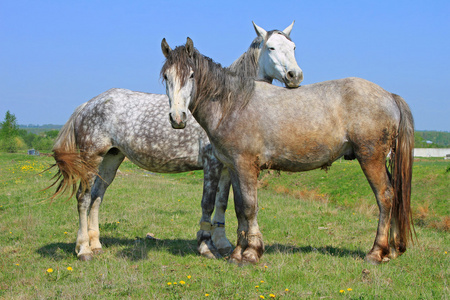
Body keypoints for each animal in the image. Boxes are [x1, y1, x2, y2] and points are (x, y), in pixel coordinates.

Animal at [49, 22, 302, 260]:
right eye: (271, 48)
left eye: (292, 47)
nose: (295, 76)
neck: (225, 103)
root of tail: (88, 104)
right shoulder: (212, 164)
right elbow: (208, 203)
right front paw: (206, 247)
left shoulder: (227, 166)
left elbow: (222, 203)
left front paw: (222, 244)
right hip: (91, 158)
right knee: (83, 198)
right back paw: (84, 249)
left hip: (110, 159)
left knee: (97, 197)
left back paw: (96, 245)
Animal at [161, 38, 414, 266]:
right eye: (166, 76)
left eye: (191, 75)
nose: (177, 118)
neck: (233, 105)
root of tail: (389, 96)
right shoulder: (233, 167)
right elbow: (240, 208)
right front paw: (237, 254)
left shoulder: (246, 165)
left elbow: (249, 207)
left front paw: (251, 253)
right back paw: (391, 250)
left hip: (370, 158)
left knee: (385, 196)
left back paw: (376, 252)